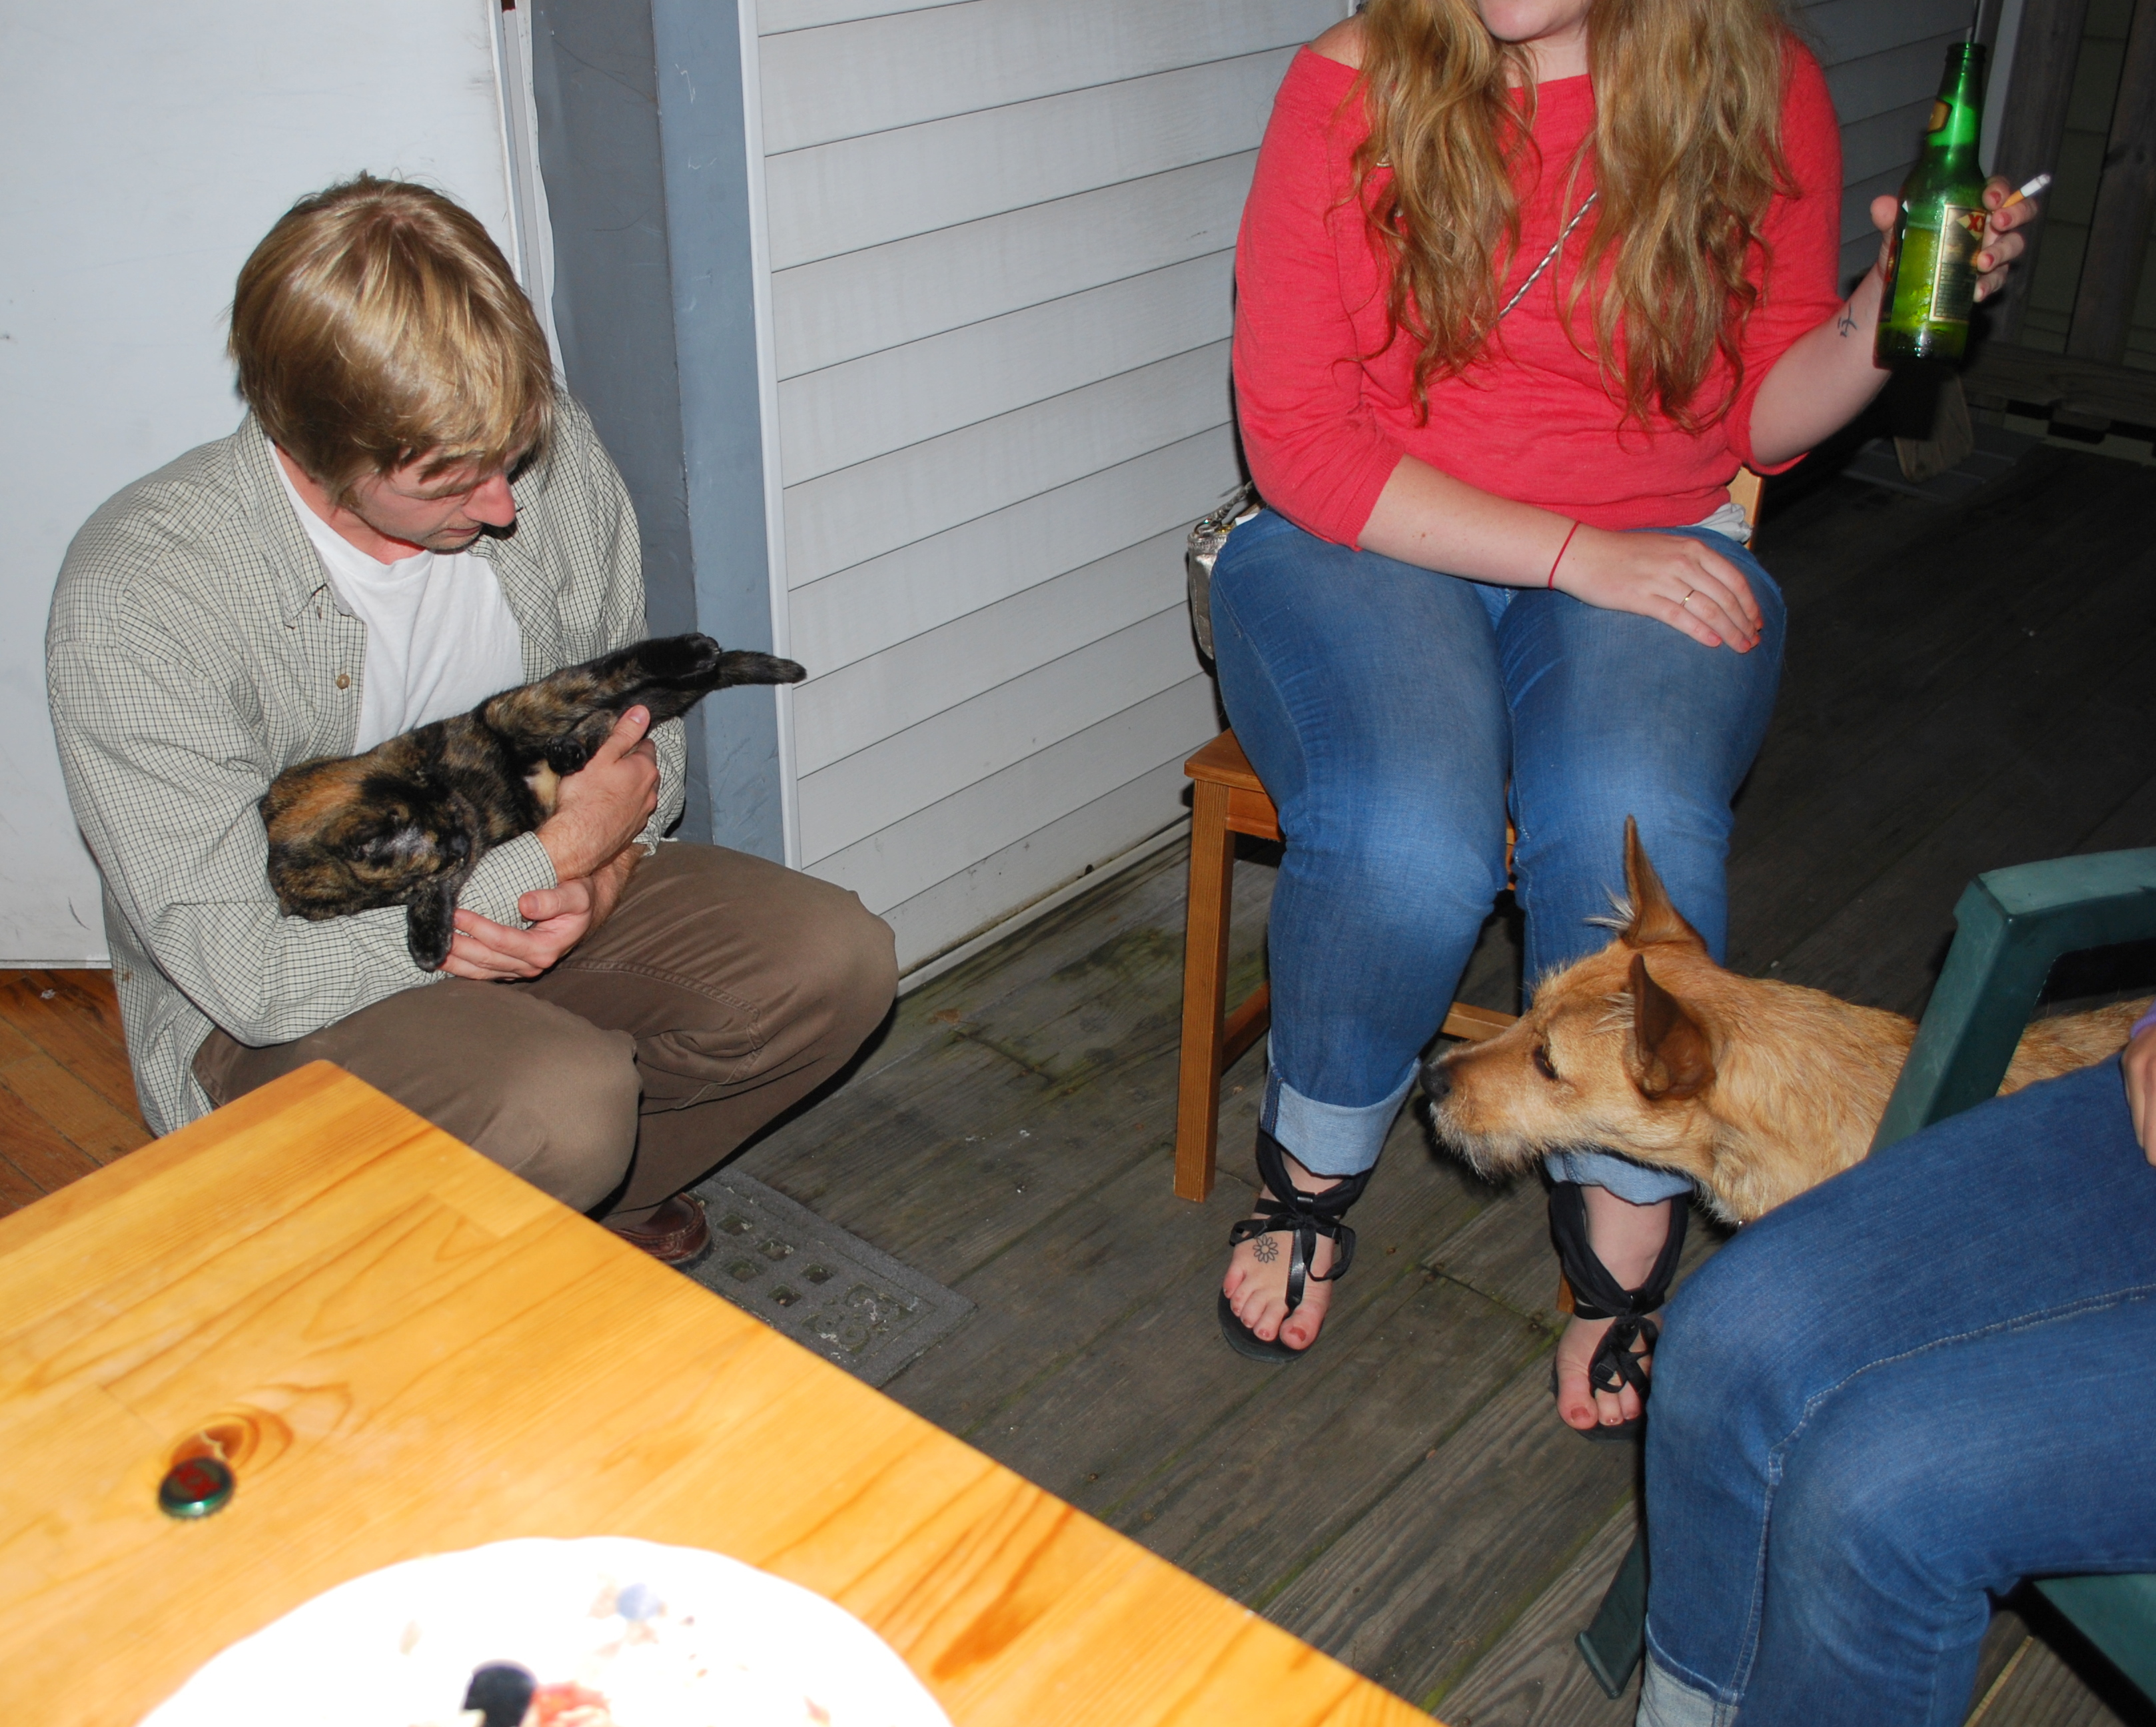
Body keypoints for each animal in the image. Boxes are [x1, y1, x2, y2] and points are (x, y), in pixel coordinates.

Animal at [261, 633, 804, 969]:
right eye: (445, 841)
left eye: (455, 814)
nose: (462, 839)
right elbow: (432, 891)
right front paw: (428, 938)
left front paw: (426, 939)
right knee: (608, 714)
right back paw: (570, 751)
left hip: (521, 708)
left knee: (604, 679)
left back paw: (687, 653)